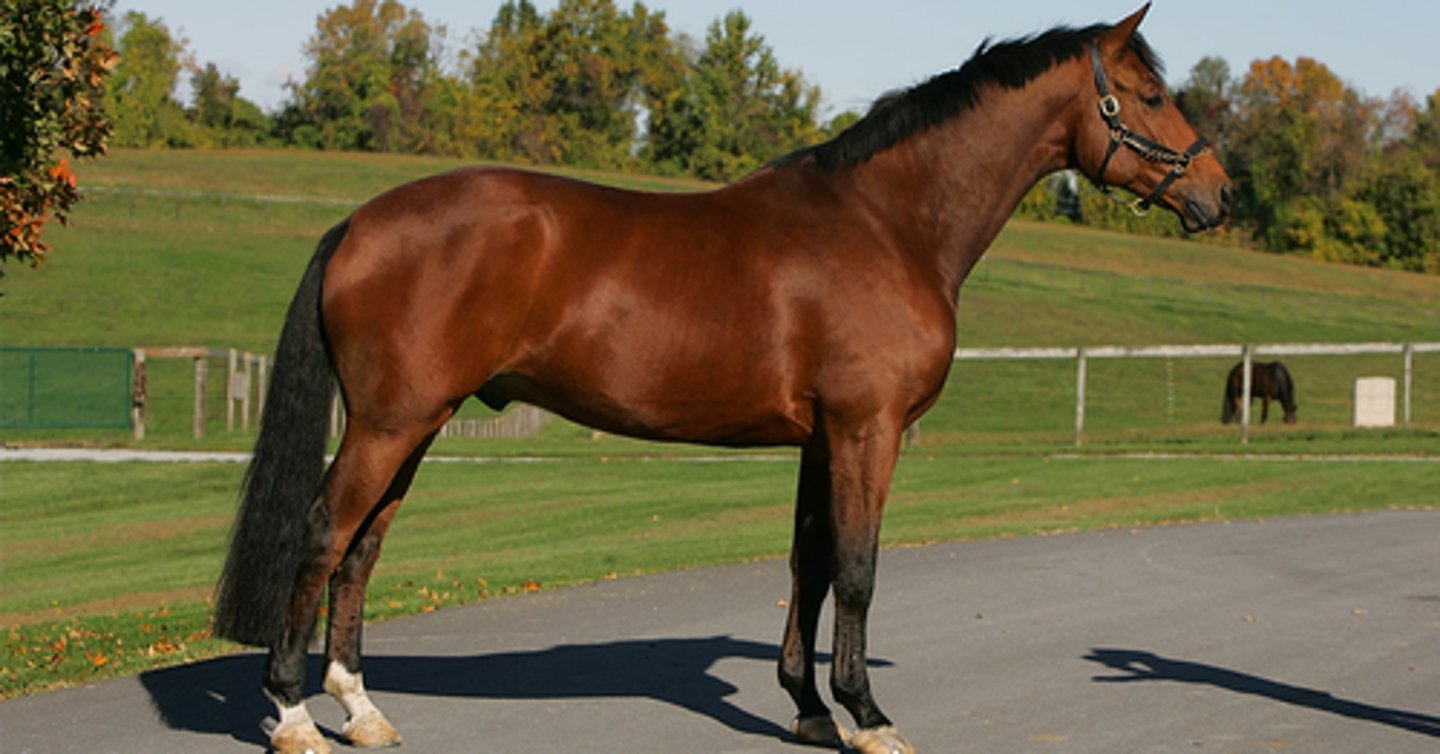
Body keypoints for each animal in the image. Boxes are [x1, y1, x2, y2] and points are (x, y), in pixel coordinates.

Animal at [213, 6, 1229, 753]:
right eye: (1148, 93)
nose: (1219, 194)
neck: (888, 222)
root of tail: (360, 222)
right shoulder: (868, 428)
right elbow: (858, 569)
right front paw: (868, 718)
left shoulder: (823, 437)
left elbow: (809, 565)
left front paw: (810, 708)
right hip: (390, 423)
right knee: (322, 537)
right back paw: (294, 717)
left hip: (416, 423)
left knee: (361, 552)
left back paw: (363, 712)